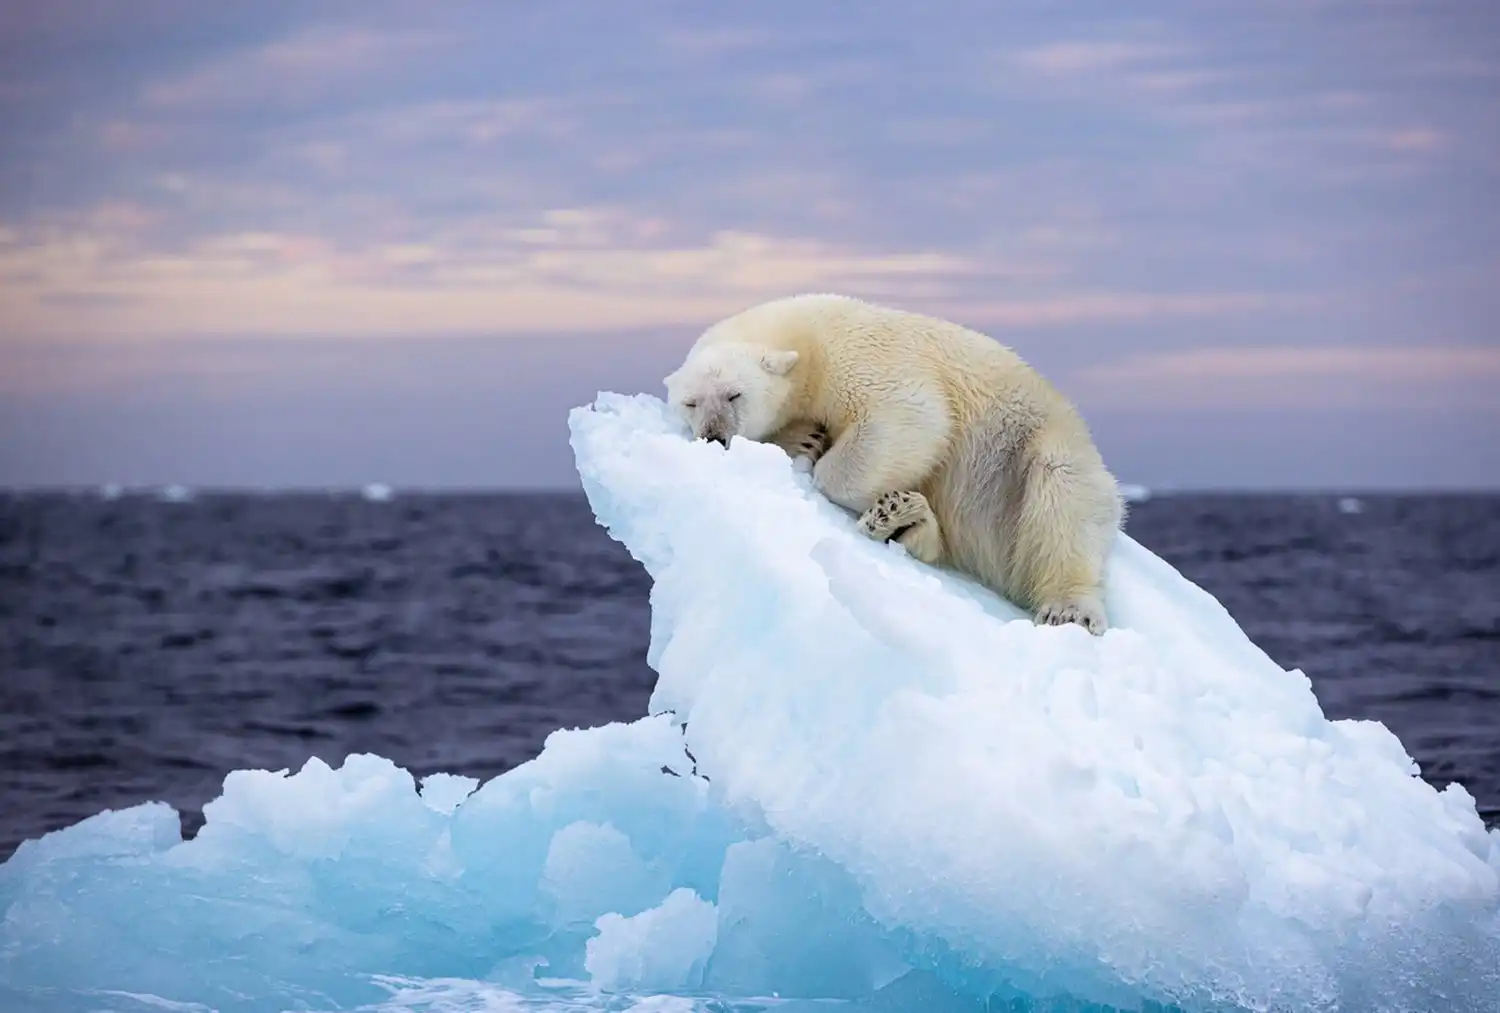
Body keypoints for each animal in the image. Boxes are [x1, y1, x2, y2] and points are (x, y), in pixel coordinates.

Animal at [660, 295, 1128, 633]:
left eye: (734, 394)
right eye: (691, 402)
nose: (713, 435)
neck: (806, 340)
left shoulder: (858, 358)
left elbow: (913, 417)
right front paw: (803, 438)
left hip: (1028, 451)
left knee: (1063, 501)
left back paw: (1068, 608)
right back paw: (903, 520)